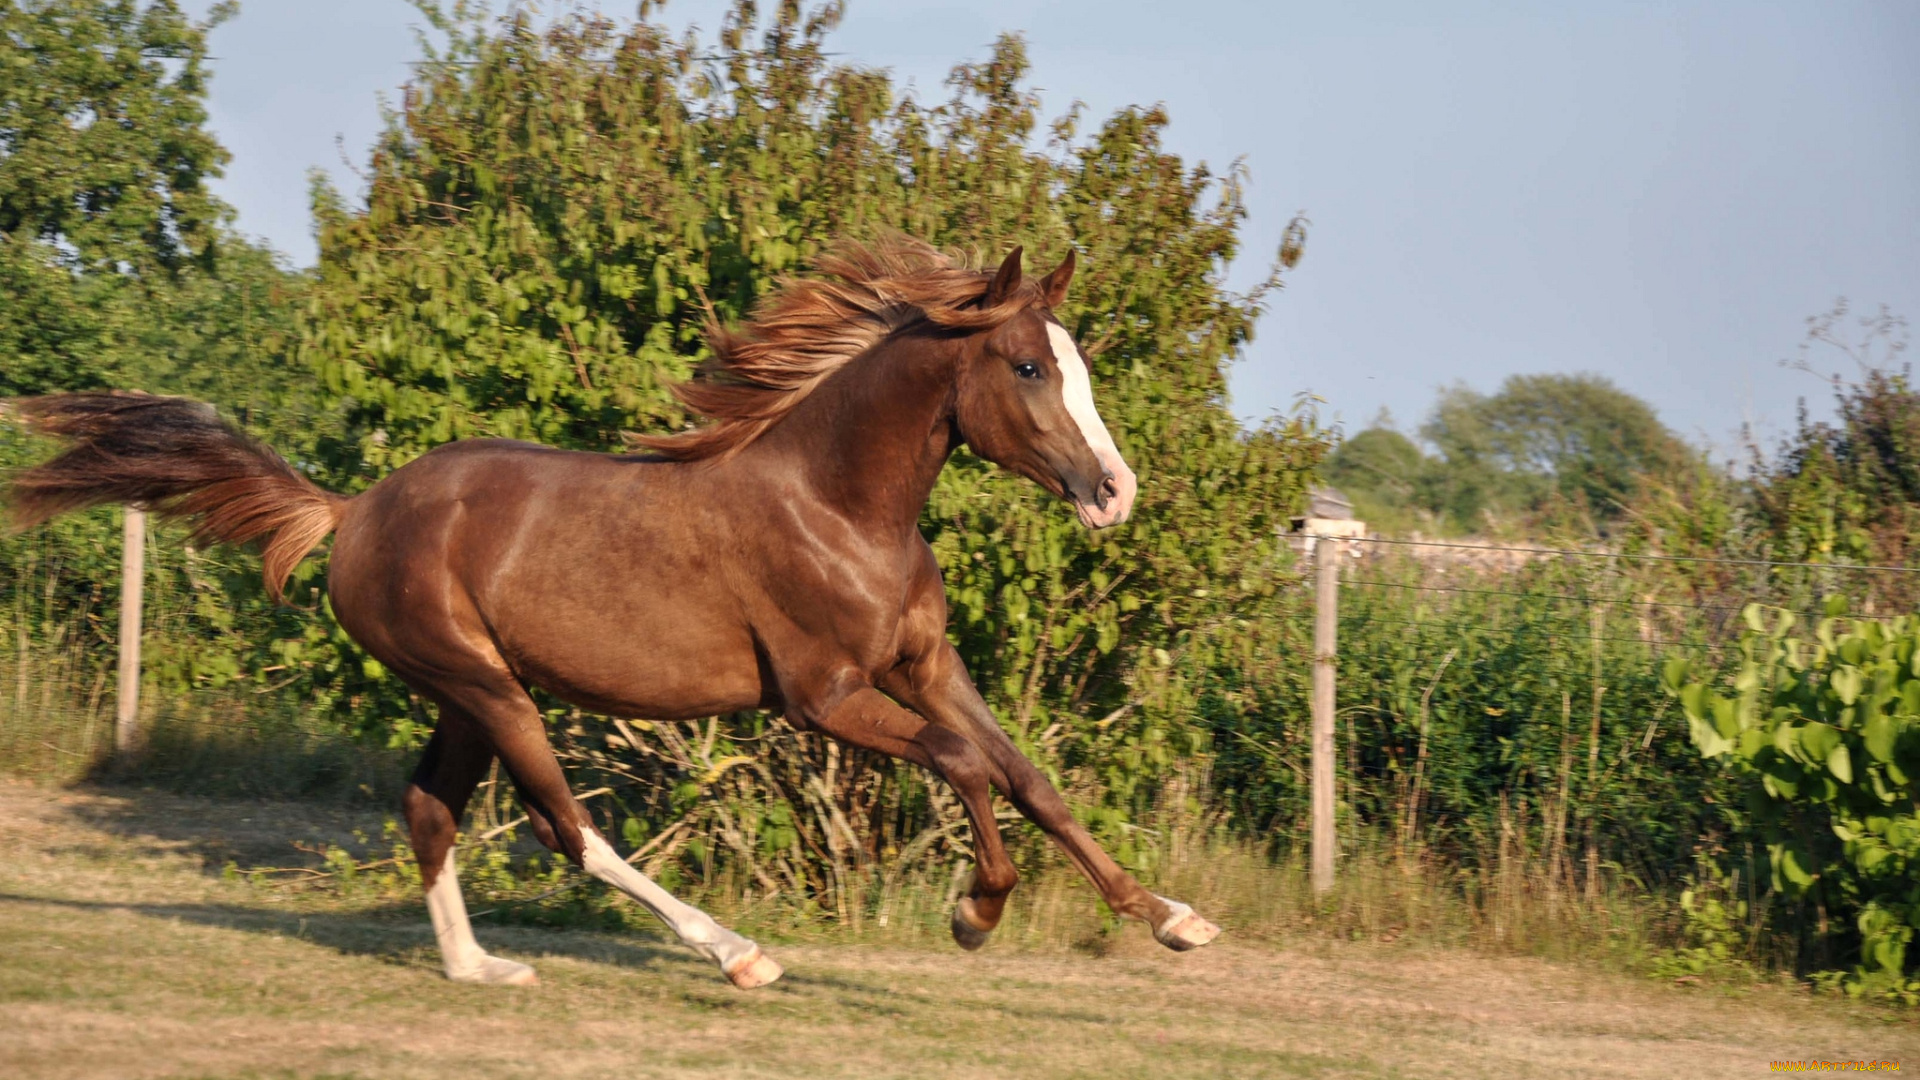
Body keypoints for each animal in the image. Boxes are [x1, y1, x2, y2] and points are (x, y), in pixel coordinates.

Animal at [7, 239, 1221, 991]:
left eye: (1077, 365)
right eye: (1026, 367)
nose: (1114, 493)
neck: (837, 502)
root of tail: (352, 513)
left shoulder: (924, 667)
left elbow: (1028, 775)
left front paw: (1172, 918)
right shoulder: (824, 698)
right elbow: (967, 767)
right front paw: (976, 914)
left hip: (466, 695)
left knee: (431, 810)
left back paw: (480, 969)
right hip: (488, 687)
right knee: (567, 827)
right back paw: (737, 955)